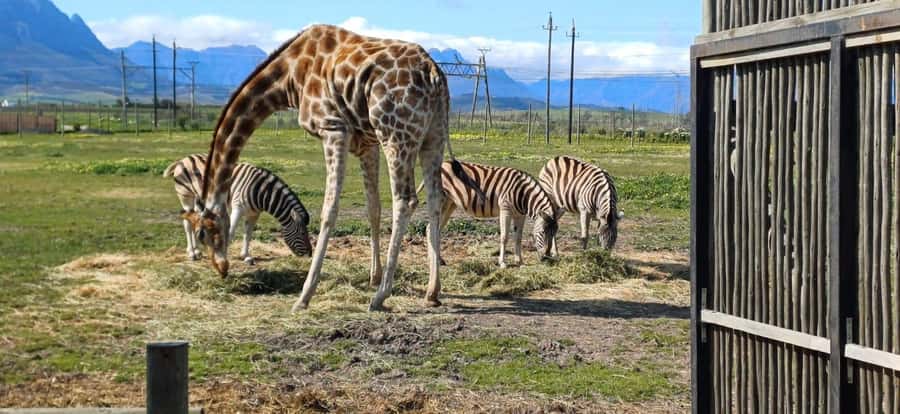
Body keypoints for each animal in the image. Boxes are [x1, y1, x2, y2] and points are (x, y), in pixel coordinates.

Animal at [185, 24, 483, 312]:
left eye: (202, 233)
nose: (221, 268)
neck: (290, 77)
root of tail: (435, 73)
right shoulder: (366, 143)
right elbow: (373, 208)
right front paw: (372, 276)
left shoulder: (333, 128)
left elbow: (329, 210)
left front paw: (305, 296)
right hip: (432, 136)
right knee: (433, 199)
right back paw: (432, 292)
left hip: (395, 134)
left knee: (405, 200)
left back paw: (380, 297)